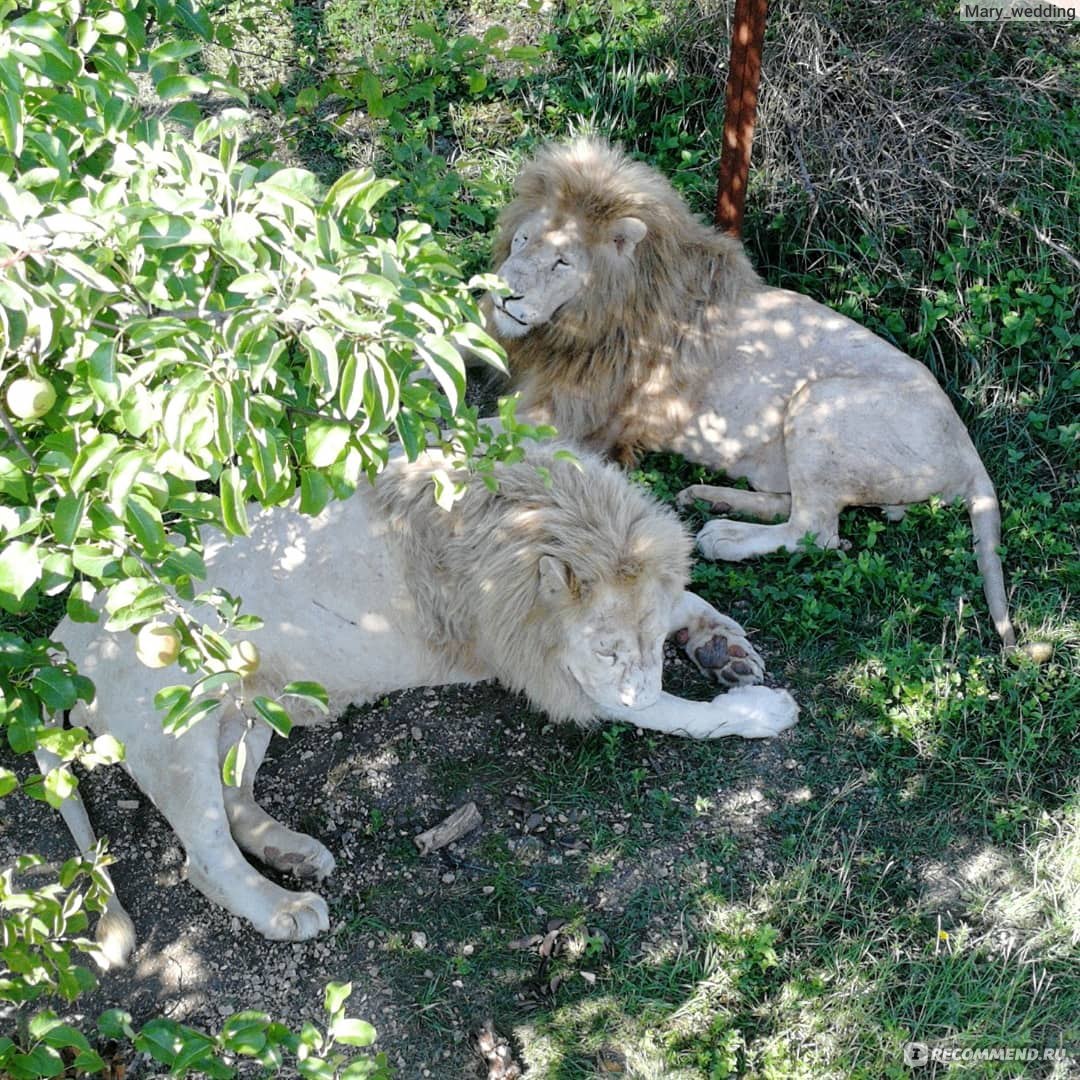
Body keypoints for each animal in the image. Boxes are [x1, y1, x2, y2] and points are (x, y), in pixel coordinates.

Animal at [42, 442, 799, 967]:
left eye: (643, 642)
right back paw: (286, 908)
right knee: (204, 855)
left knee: (235, 799)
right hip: (178, 726)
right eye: (608, 652)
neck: (538, 524)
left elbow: (687, 605)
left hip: (254, 708)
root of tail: (61, 642)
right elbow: (672, 713)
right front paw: (760, 709)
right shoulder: (561, 677)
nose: (638, 675)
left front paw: (721, 646)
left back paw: (297, 852)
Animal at [488, 140, 1019, 652]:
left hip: (822, 401)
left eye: (562, 261)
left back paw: (723, 535)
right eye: (522, 240)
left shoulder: (573, 418)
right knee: (799, 508)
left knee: (817, 531)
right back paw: (711, 498)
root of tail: (968, 451)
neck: (585, 317)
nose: (502, 294)